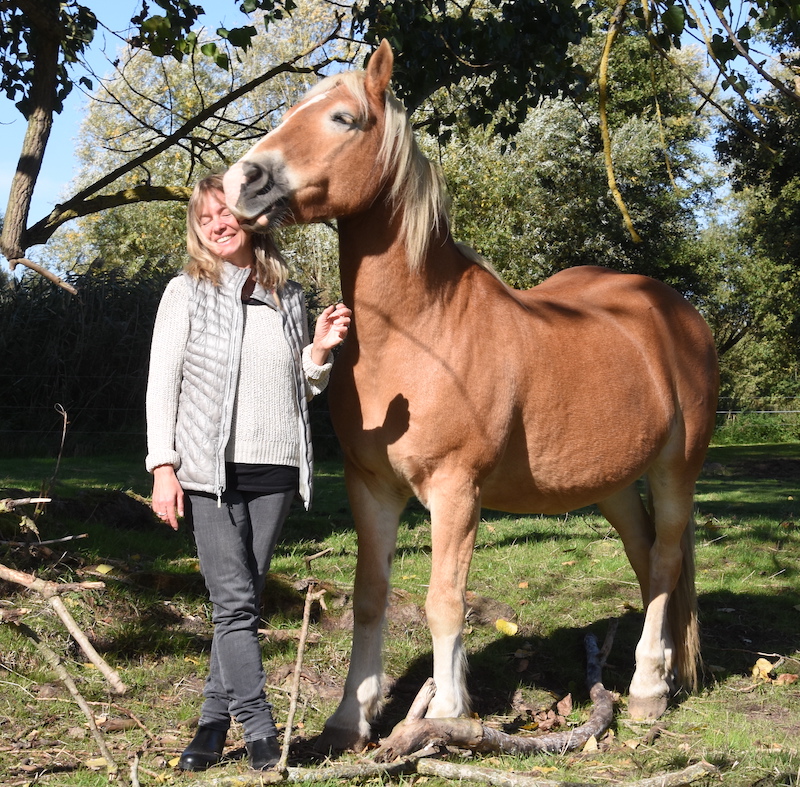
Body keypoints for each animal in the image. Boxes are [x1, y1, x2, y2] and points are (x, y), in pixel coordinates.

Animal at [223, 40, 719, 752]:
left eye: (344, 118)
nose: (242, 182)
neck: (423, 333)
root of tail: (679, 313)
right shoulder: (372, 488)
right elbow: (370, 595)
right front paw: (350, 718)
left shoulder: (456, 491)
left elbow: (445, 601)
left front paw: (449, 717)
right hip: (616, 484)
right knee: (647, 556)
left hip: (677, 469)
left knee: (666, 562)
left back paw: (650, 689)